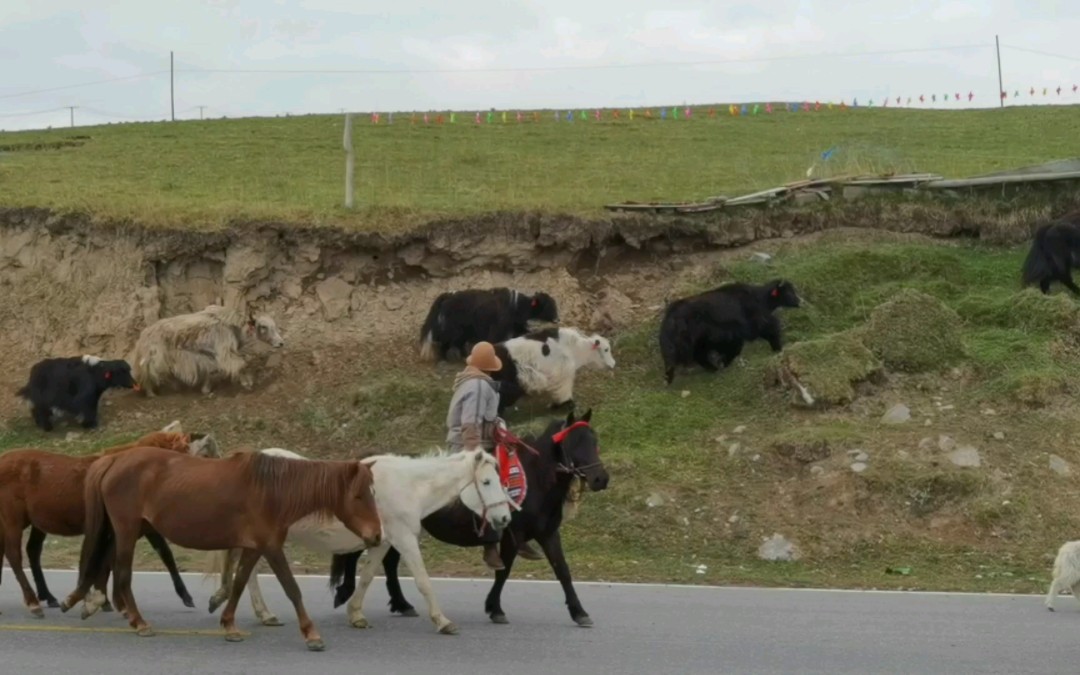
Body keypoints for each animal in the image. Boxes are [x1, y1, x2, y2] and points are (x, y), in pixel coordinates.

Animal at [0, 421, 219, 617]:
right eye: (205, 455)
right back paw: (33, 602)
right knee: (14, 555)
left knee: (27, 551)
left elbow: (123, 559)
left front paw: (103, 600)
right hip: (12, 519)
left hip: (33, 522)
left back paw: (47, 596)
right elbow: (142, 556)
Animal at [62, 444, 384, 652]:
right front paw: (311, 634)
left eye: (373, 492)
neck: (272, 491)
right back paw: (138, 622)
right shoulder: (271, 547)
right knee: (123, 574)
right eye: (358, 495)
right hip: (127, 529)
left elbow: (239, 584)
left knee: (107, 564)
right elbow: (292, 589)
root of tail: (114, 460)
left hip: (130, 529)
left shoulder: (254, 547)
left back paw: (94, 604)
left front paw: (228, 624)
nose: (377, 535)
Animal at [209, 444, 514, 635]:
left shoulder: (383, 541)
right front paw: (442, 621)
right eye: (487, 482)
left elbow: (367, 577)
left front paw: (355, 613)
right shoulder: (404, 538)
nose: (505, 518)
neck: (408, 486)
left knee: (248, 570)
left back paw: (263, 613)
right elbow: (423, 582)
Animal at [328, 410, 613, 626]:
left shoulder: (548, 534)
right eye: (573, 443)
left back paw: (402, 604)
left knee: (388, 562)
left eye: (594, 440)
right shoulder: (513, 535)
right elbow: (504, 571)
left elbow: (563, 570)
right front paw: (494, 608)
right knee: (357, 554)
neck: (535, 481)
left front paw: (579, 612)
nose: (601, 479)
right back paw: (345, 593)